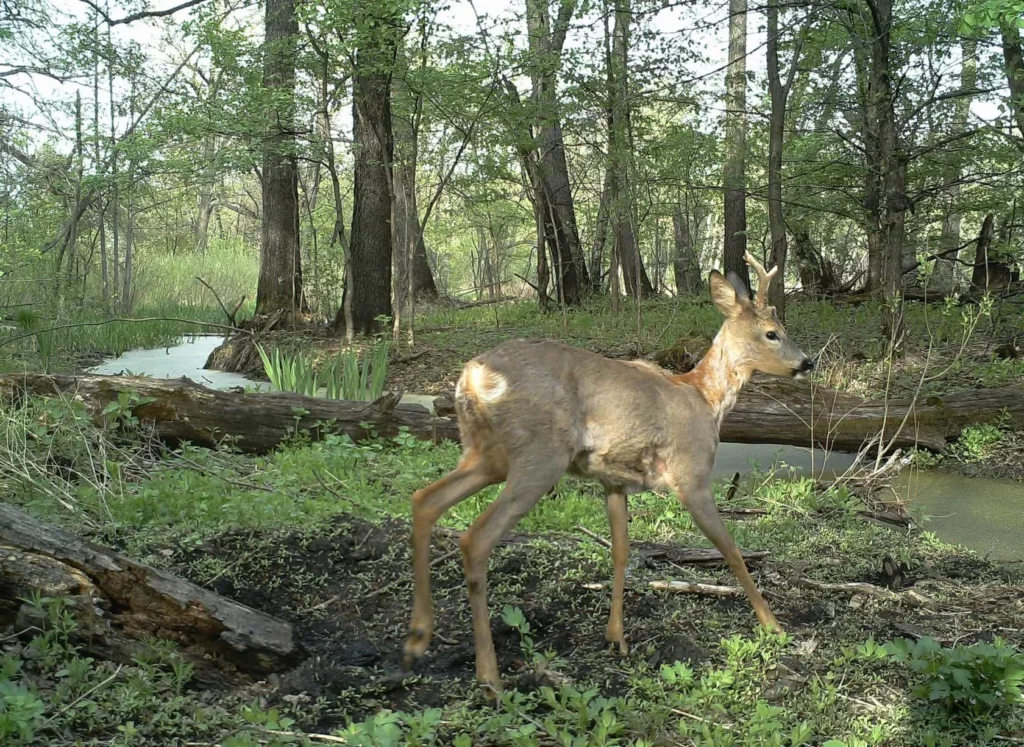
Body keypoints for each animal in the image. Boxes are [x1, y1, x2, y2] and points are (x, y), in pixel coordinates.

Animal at [403, 251, 811, 692]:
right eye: (772, 333)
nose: (807, 362)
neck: (705, 399)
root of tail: (471, 376)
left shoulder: (614, 481)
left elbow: (620, 551)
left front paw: (616, 637)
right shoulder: (691, 473)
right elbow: (731, 550)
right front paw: (773, 624)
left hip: (485, 453)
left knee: (424, 499)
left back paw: (417, 638)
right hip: (538, 455)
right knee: (475, 537)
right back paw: (488, 674)